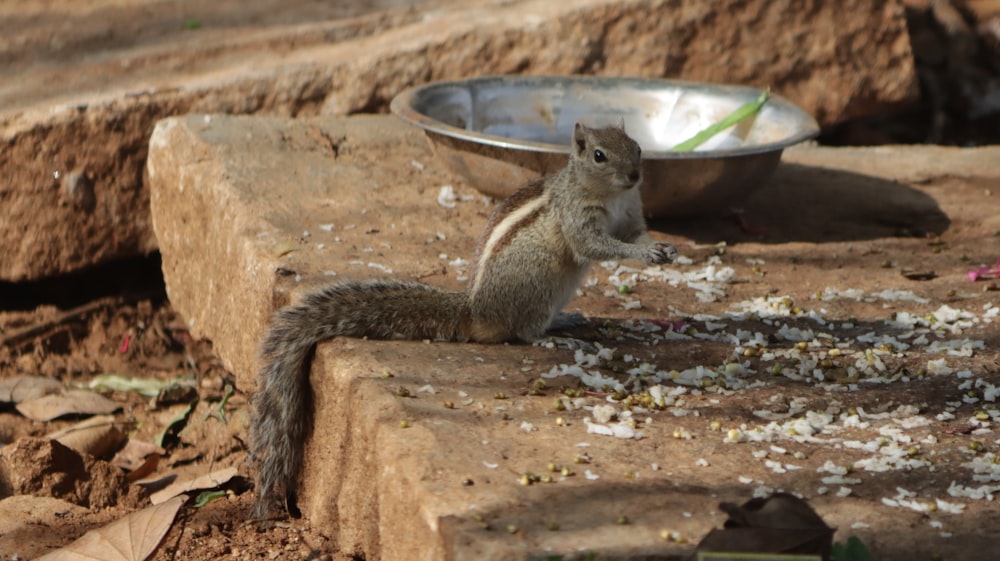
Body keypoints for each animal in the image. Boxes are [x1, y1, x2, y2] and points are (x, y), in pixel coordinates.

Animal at [248, 120, 680, 520]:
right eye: (599, 155)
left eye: (638, 147)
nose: (635, 176)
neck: (612, 194)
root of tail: (477, 310)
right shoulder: (578, 218)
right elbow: (595, 245)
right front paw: (641, 254)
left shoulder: (631, 214)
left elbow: (635, 235)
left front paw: (662, 249)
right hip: (540, 280)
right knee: (522, 331)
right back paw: (556, 336)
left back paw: (568, 319)